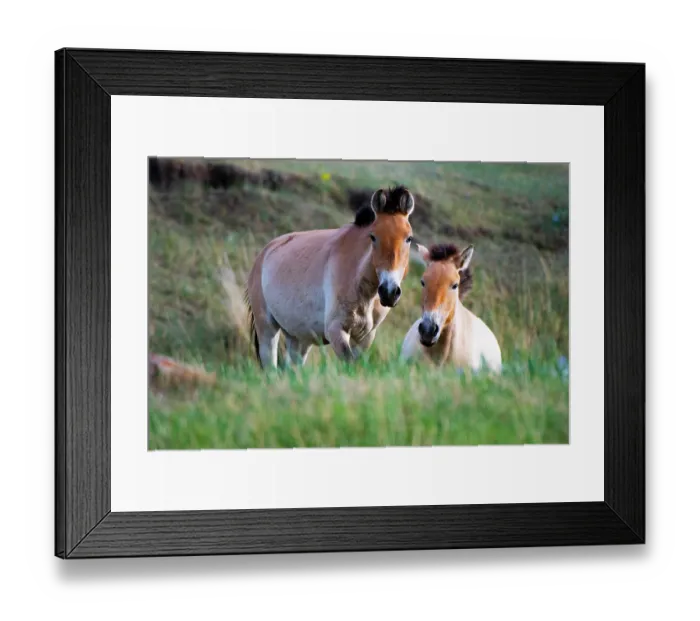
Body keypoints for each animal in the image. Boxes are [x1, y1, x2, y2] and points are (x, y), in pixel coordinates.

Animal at [245, 185, 416, 369]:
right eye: (373, 237)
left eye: (409, 238)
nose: (389, 292)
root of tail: (263, 254)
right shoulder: (336, 331)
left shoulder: (365, 337)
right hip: (267, 330)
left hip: (298, 337)